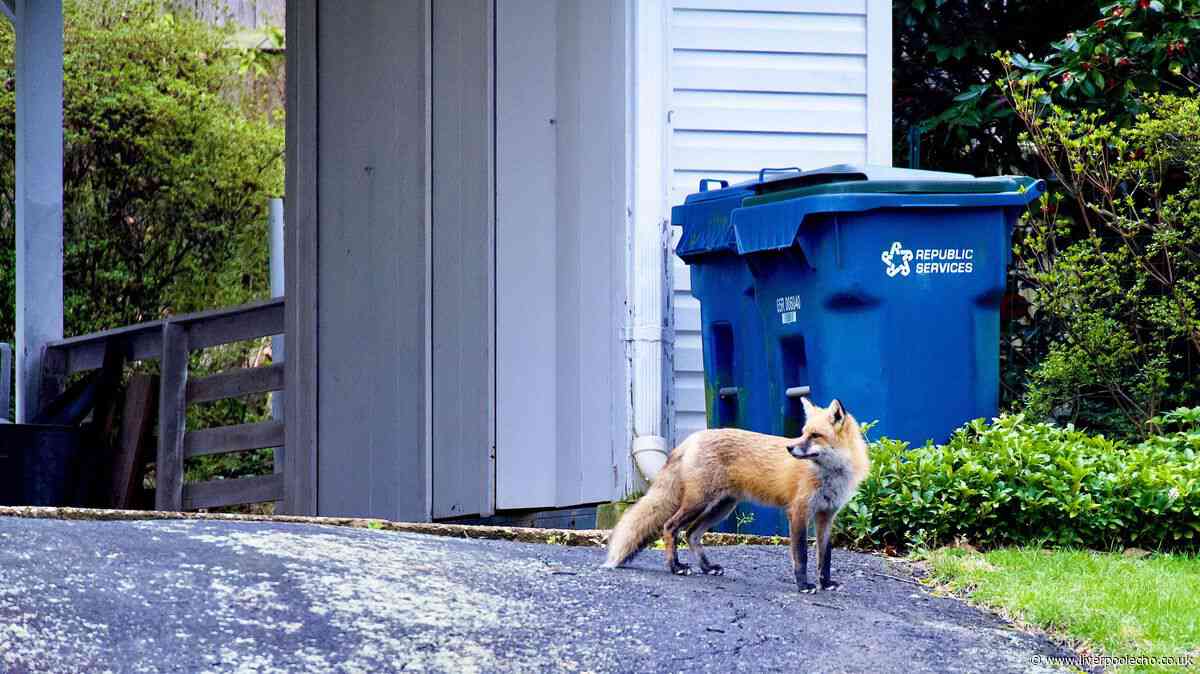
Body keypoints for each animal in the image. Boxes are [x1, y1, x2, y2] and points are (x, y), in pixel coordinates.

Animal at [602, 398, 869, 593]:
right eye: (803, 432)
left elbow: (825, 556)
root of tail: (693, 438)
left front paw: (826, 583)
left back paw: (707, 568)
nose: (790, 448)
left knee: (691, 534)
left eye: (815, 435)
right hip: (698, 502)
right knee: (670, 527)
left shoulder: (826, 515)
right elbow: (801, 556)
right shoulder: (798, 512)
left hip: (721, 507)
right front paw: (803, 585)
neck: (831, 474)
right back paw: (676, 567)